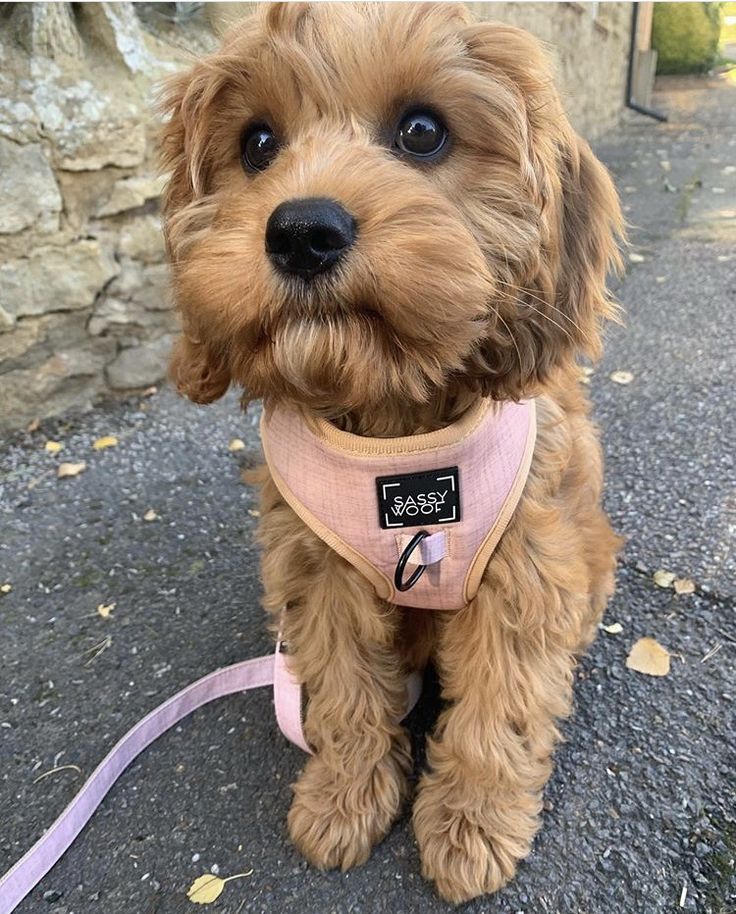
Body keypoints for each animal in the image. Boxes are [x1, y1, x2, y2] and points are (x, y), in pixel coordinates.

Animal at [158, 3, 624, 900]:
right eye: (257, 143)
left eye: (422, 131)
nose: (303, 231)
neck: (394, 427)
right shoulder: (320, 575)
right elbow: (344, 693)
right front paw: (343, 799)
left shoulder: (524, 568)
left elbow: (500, 708)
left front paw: (473, 824)